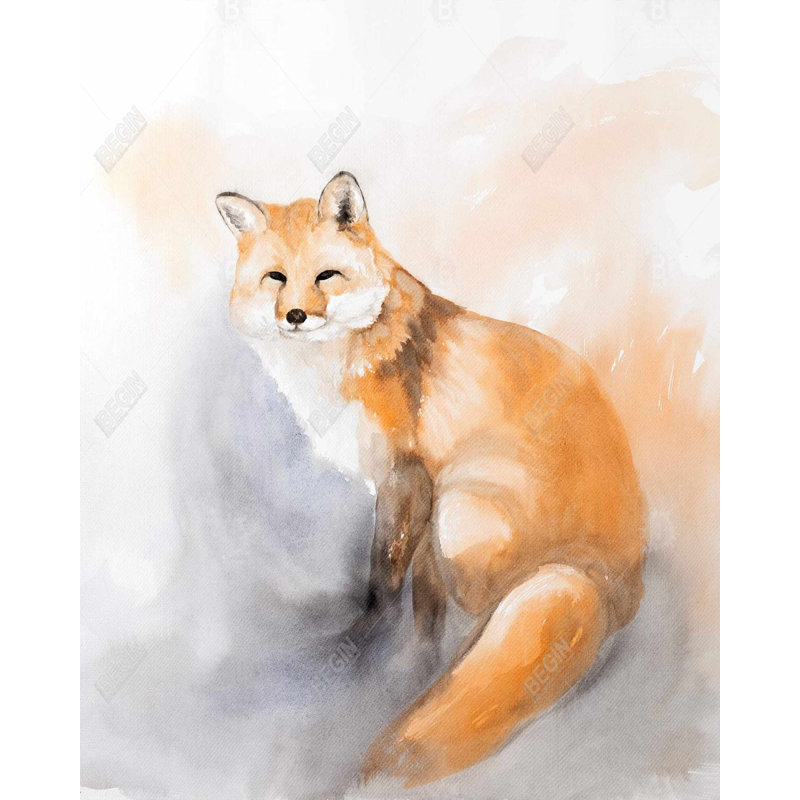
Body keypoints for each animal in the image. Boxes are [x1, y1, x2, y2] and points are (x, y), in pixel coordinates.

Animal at [215, 171, 646, 787]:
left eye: (326, 276)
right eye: (276, 278)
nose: (295, 316)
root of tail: (607, 581)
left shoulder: (410, 477)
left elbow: (384, 578)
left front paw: (362, 645)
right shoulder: (408, 490)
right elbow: (417, 589)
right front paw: (412, 648)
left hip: (462, 509)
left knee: (489, 612)